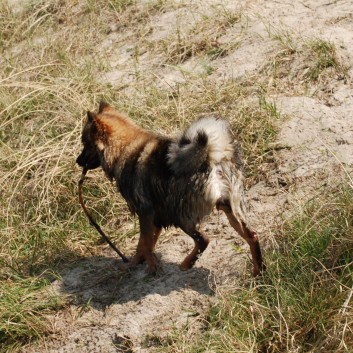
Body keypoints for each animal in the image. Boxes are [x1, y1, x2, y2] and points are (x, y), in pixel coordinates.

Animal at [77, 101, 262, 276]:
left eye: (85, 143)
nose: (77, 161)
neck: (124, 148)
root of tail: (211, 156)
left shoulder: (145, 211)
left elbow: (145, 242)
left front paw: (151, 268)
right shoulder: (155, 217)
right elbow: (144, 243)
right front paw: (136, 263)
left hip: (181, 215)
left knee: (204, 240)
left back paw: (187, 264)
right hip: (231, 210)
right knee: (252, 236)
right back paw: (258, 272)